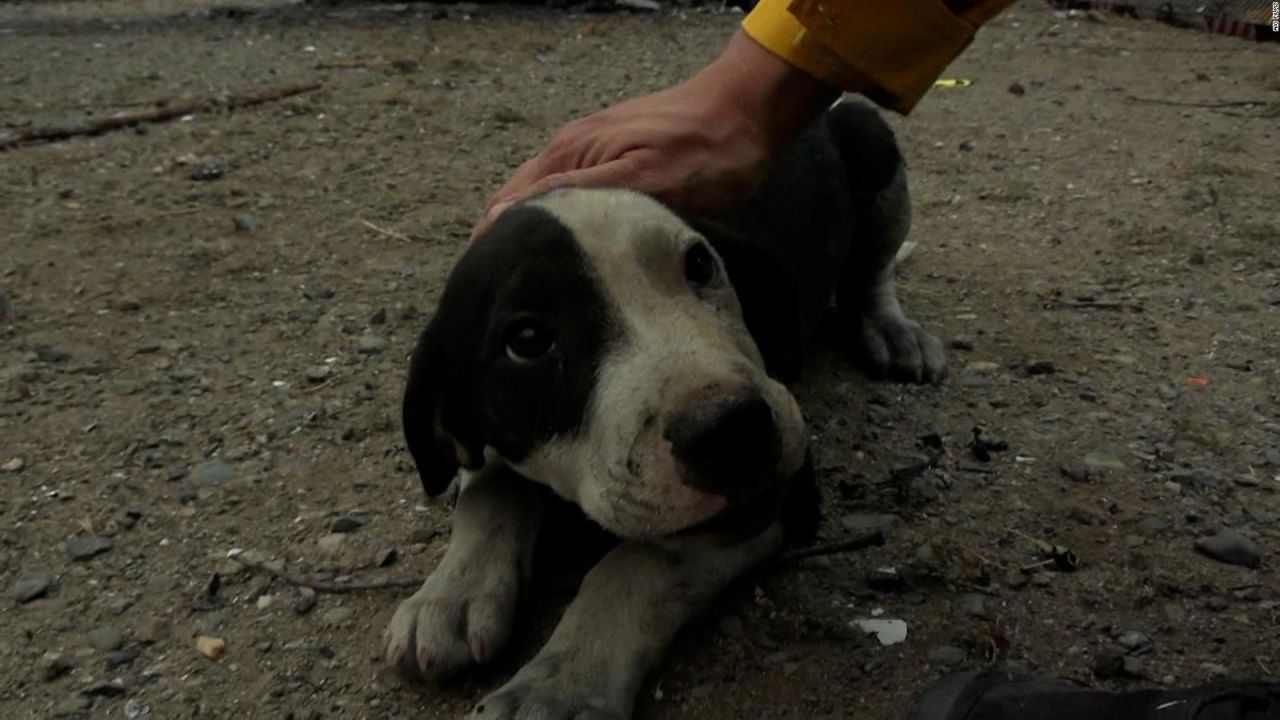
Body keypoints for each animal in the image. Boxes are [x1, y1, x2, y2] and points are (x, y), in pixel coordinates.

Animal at [384, 98, 947, 712]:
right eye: (527, 340)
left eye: (700, 264)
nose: (733, 431)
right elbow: (488, 487)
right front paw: (451, 594)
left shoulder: (779, 490)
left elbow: (638, 563)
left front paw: (560, 682)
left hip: (874, 147)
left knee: (873, 273)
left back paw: (890, 329)